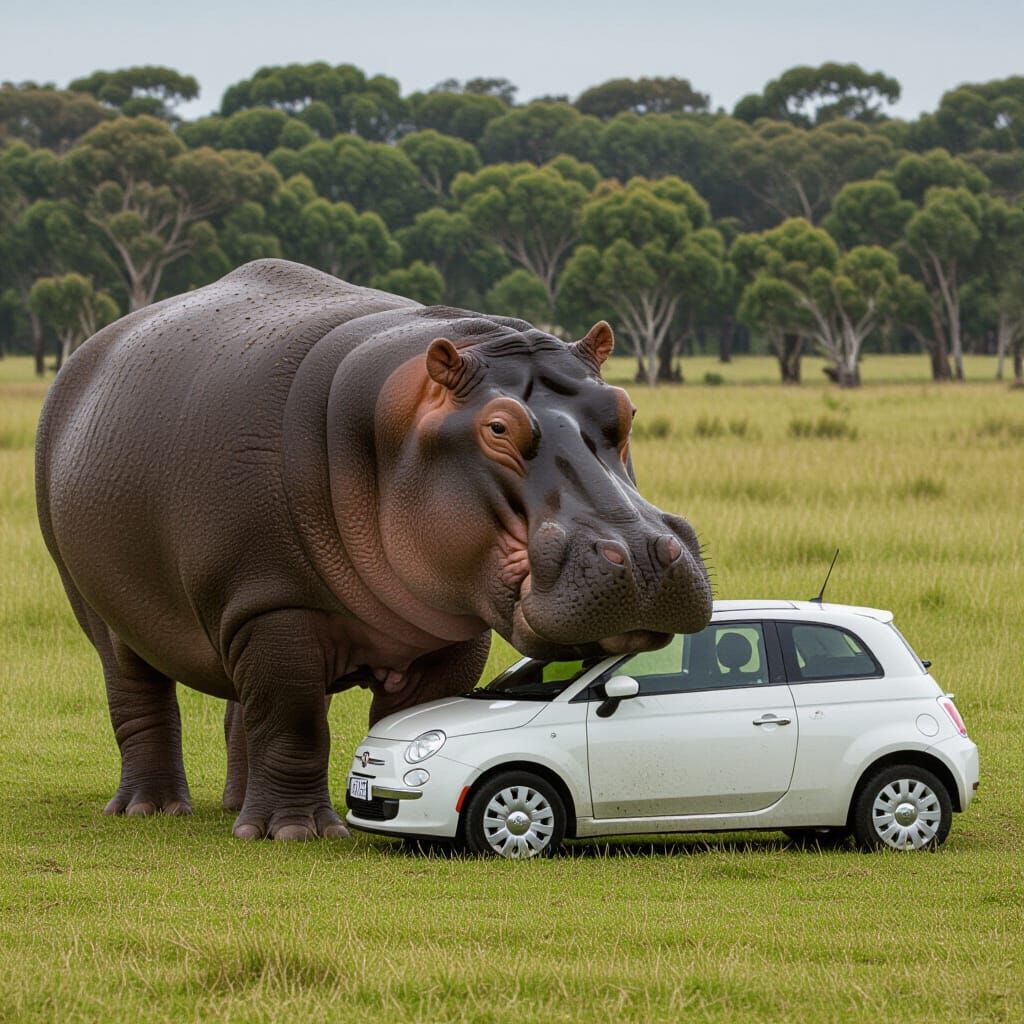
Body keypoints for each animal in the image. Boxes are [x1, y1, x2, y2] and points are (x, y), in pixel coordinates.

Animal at [36, 259, 711, 840]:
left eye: (624, 409)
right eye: (497, 427)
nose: (643, 554)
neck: (391, 424)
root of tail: (86, 356)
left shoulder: (444, 631)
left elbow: (405, 715)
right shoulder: (274, 604)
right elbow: (293, 722)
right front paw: (296, 833)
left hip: (232, 618)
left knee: (240, 707)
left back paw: (235, 808)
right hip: (102, 607)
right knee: (139, 698)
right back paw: (151, 809)